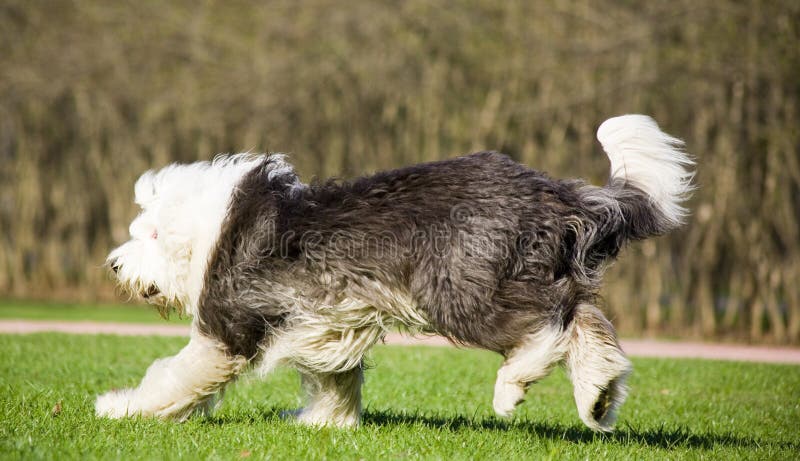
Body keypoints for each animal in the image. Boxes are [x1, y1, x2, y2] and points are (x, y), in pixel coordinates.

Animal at [95, 115, 692, 432]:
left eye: (148, 233)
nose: (114, 264)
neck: (206, 228)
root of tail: (554, 192)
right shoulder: (327, 323)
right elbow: (335, 380)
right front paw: (324, 424)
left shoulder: (230, 325)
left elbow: (177, 376)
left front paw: (121, 408)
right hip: (520, 276)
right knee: (587, 319)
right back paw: (598, 398)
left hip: (461, 287)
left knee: (547, 327)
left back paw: (511, 389)